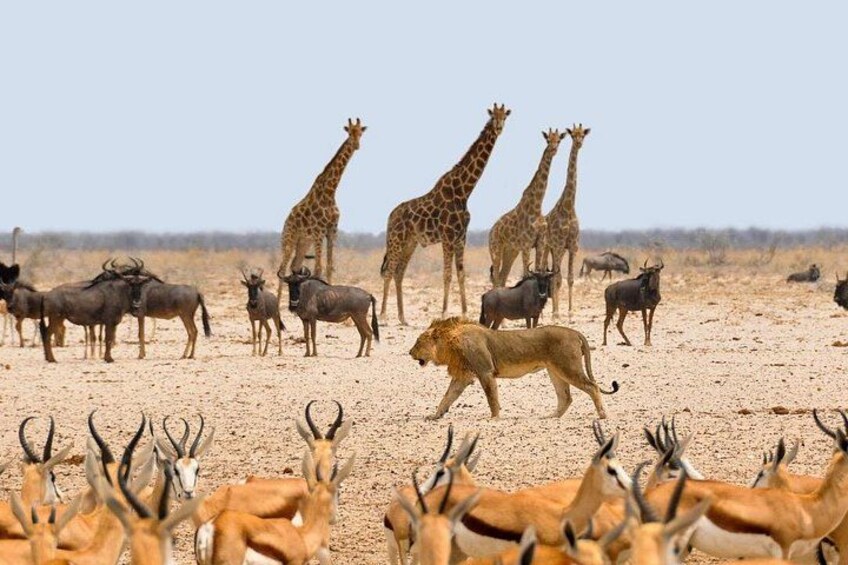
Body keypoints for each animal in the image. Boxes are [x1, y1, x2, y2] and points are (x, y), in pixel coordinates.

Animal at [275, 119, 366, 301]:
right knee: (282, 268)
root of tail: (286, 221)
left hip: (303, 242)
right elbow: (318, 268)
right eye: (349, 132)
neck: (330, 192)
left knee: (295, 266)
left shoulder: (332, 230)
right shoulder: (318, 231)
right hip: (289, 240)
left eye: (361, 132)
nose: (356, 145)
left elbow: (330, 266)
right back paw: (278, 304)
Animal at [380, 104, 510, 325]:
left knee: (399, 272)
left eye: (505, 117)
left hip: (410, 242)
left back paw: (403, 318)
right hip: (396, 239)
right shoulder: (448, 236)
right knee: (389, 271)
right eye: (493, 117)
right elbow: (447, 274)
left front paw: (465, 313)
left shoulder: (461, 237)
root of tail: (390, 216)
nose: (499, 128)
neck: (464, 191)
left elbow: (461, 274)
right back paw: (383, 316)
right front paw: (444, 313)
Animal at [409, 317, 619, 420]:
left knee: (592, 387)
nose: (409, 352)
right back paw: (551, 416)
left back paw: (602, 415)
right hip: (555, 371)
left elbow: (491, 398)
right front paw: (435, 415)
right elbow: (447, 397)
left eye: (418, 342)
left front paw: (494, 418)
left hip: (568, 367)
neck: (451, 342)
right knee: (566, 397)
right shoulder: (463, 376)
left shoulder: (485, 372)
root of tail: (575, 332)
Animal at [488, 128, 565, 287]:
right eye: (548, 139)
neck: (537, 207)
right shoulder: (526, 244)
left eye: (559, 140)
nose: (553, 149)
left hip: (511, 251)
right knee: (496, 278)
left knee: (502, 277)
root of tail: (490, 232)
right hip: (496, 249)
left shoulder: (540, 242)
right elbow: (526, 274)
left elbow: (538, 270)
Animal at [541, 124, 590, 318]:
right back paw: (549, 312)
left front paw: (569, 312)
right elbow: (557, 277)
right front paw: (556, 313)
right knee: (547, 272)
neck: (569, 207)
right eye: (573, 135)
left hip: (555, 249)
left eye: (583, 134)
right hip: (548, 247)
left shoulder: (573, 246)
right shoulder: (559, 244)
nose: (579, 143)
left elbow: (569, 279)